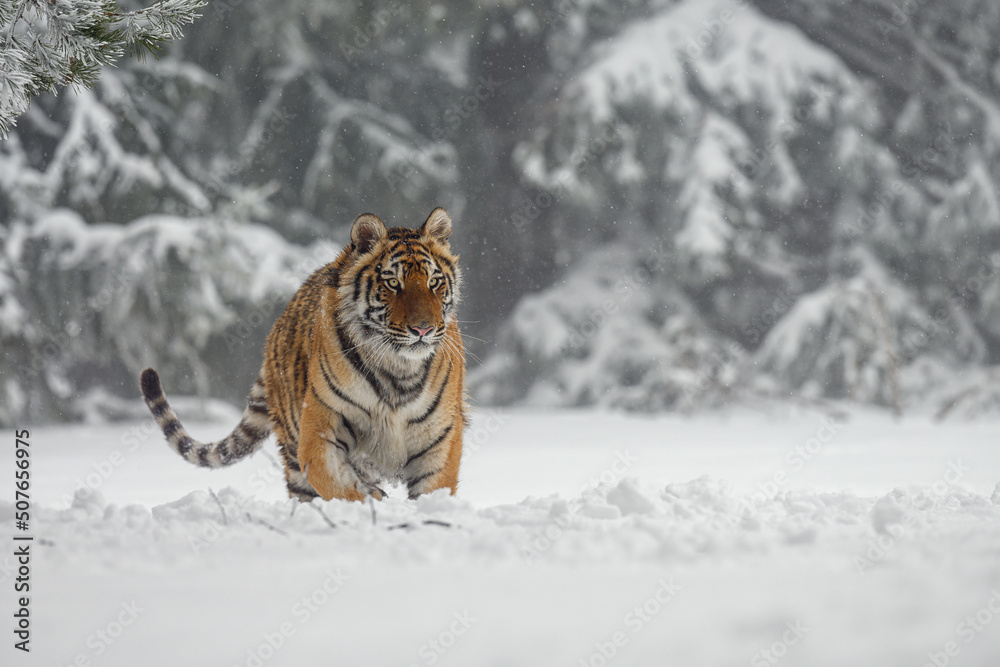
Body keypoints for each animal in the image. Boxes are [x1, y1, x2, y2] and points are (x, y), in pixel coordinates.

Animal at [139, 208, 467, 503]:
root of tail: (275, 330)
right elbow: (335, 483)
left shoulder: (439, 436)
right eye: (393, 283)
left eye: (433, 281)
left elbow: (433, 491)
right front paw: (373, 501)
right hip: (292, 450)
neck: (397, 367)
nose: (423, 329)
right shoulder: (320, 427)